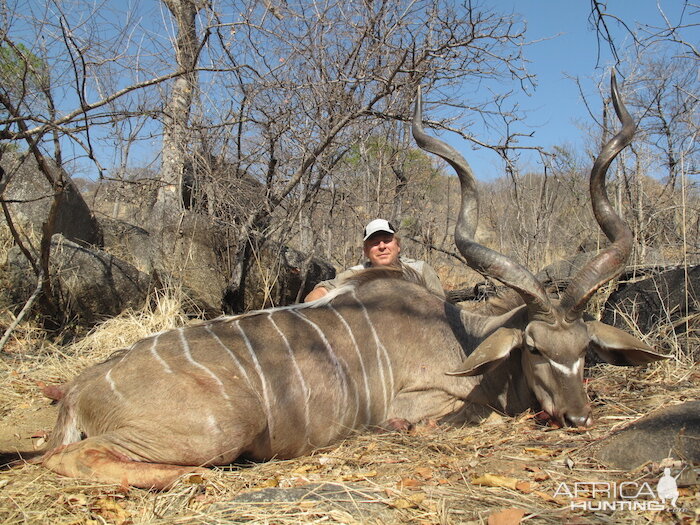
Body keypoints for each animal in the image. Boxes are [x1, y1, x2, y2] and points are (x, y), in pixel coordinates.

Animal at [41, 72, 664, 488]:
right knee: (71, 458)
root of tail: (80, 388)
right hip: (218, 430)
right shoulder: (423, 402)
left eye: (584, 348)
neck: (463, 334)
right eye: (533, 347)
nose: (578, 417)